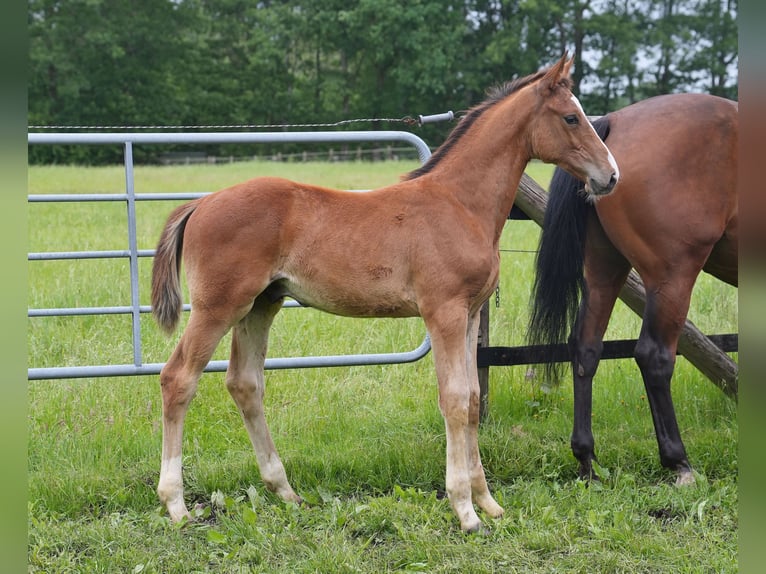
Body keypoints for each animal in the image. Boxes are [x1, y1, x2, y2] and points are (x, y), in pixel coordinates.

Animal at [150, 53, 619, 533]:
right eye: (571, 117)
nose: (611, 176)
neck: (459, 203)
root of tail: (201, 203)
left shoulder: (470, 313)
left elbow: (472, 399)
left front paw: (488, 503)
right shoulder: (444, 312)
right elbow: (453, 399)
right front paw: (465, 511)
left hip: (262, 304)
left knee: (244, 383)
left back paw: (285, 491)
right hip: (218, 306)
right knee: (178, 378)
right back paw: (176, 504)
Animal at [528, 93, 737, 485]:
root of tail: (613, 122)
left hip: (603, 270)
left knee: (586, 348)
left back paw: (587, 459)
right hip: (672, 278)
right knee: (654, 357)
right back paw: (678, 462)